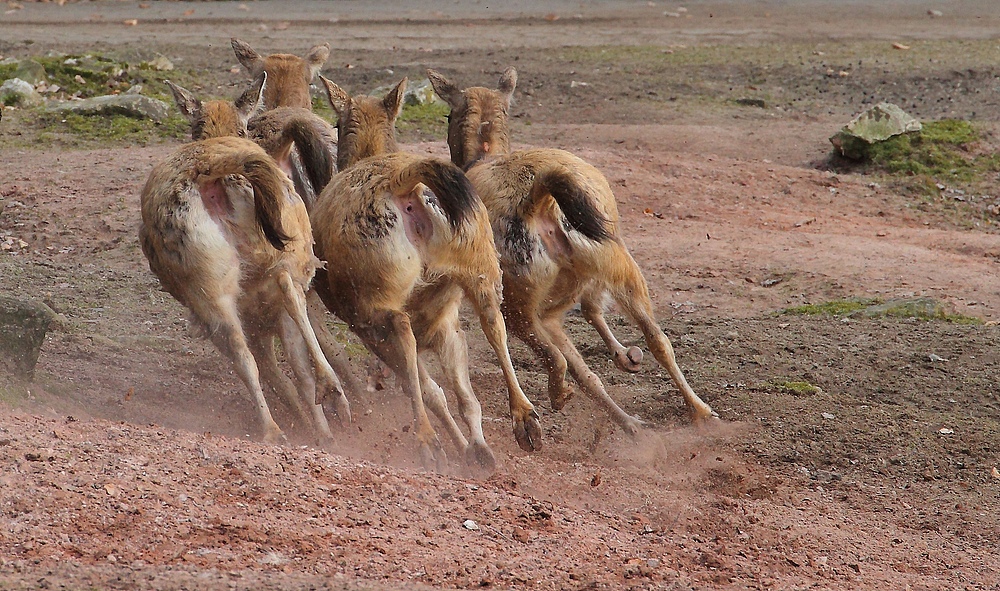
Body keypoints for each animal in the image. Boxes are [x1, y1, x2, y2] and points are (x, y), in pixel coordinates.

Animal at [146, 75, 352, 444]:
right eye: (246, 126)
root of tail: (210, 171)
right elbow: (296, 366)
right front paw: (322, 430)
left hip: (205, 283)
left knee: (242, 354)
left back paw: (273, 430)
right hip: (286, 239)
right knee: (289, 287)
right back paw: (332, 393)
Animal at [308, 76, 544, 472]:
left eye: (336, 124)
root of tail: (403, 181)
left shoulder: (367, 328)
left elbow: (426, 387)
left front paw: (461, 447)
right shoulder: (445, 325)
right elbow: (461, 395)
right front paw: (476, 450)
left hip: (374, 304)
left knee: (403, 335)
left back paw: (426, 440)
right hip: (480, 266)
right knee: (494, 325)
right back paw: (525, 421)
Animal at [426, 67, 716, 434]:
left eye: (447, 115)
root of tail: (539, 197)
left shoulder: (539, 311)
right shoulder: (554, 310)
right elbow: (589, 371)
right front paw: (631, 417)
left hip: (517, 297)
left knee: (551, 355)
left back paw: (548, 404)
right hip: (618, 262)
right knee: (658, 339)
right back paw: (701, 411)